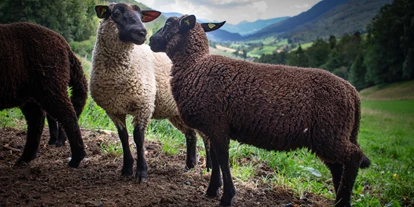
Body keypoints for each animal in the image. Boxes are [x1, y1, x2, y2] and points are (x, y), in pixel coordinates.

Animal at [91, 2, 210, 181]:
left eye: (142, 17)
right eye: (116, 13)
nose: (142, 33)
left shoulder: (144, 104)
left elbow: (138, 138)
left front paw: (141, 172)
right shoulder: (113, 110)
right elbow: (123, 136)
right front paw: (126, 168)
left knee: (206, 137)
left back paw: (209, 167)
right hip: (177, 114)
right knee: (191, 135)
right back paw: (190, 165)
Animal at [150, 14, 372, 207]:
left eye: (168, 24)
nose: (151, 40)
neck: (194, 67)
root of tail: (352, 93)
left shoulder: (218, 125)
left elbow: (222, 159)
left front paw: (227, 197)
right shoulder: (212, 127)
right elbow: (215, 157)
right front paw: (212, 190)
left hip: (329, 133)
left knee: (353, 157)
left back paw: (344, 201)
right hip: (330, 136)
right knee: (338, 166)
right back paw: (340, 199)